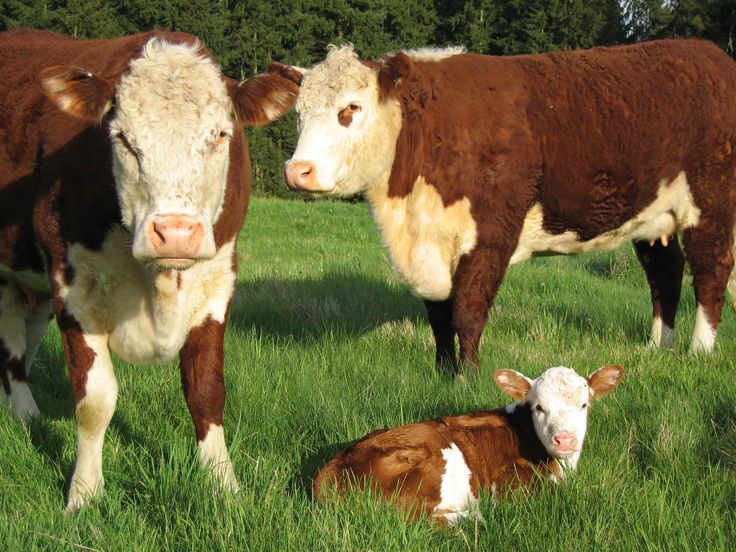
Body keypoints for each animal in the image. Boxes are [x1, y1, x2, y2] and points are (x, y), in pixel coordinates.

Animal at [0, 30, 300, 512]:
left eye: (220, 135)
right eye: (123, 138)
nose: (175, 232)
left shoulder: (218, 282)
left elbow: (206, 390)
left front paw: (223, 485)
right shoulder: (72, 286)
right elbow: (94, 400)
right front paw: (84, 494)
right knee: (10, 352)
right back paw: (27, 416)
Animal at [278, 40, 736, 376]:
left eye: (351, 108)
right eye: (298, 113)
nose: (298, 171)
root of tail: (711, 55)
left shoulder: (491, 233)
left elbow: (467, 310)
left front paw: (468, 377)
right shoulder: (429, 245)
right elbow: (439, 314)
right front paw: (443, 372)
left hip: (711, 202)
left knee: (710, 272)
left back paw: (699, 350)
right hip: (653, 216)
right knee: (665, 273)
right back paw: (657, 347)